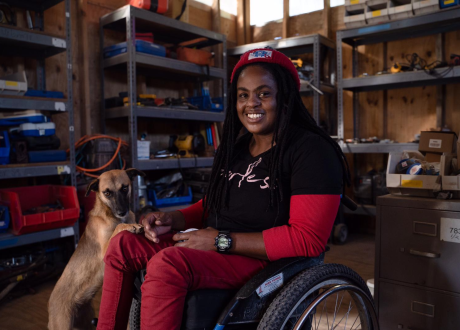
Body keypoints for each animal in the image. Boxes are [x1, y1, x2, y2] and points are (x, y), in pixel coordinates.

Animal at [48, 169, 146, 328]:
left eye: (125, 188)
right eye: (107, 193)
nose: (122, 212)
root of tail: (50, 303)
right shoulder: (106, 250)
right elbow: (119, 226)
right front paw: (130, 226)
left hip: (86, 321)